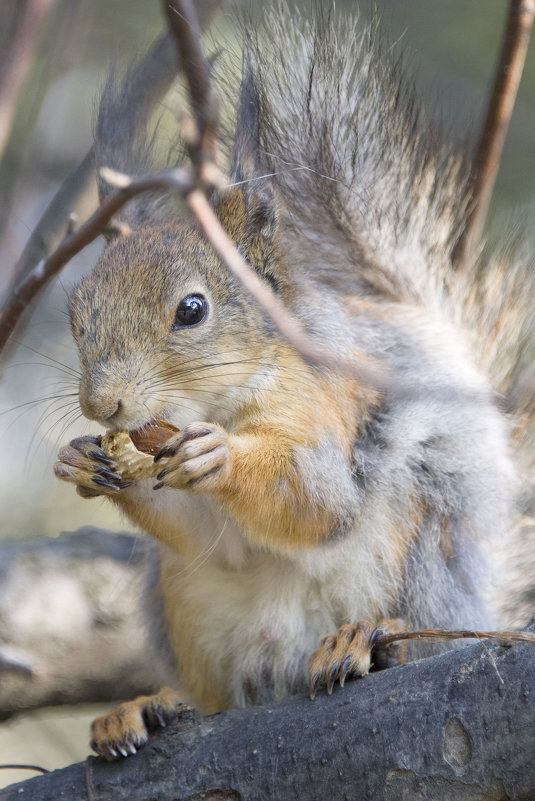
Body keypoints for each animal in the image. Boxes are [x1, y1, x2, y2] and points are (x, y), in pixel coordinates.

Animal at [53, 4, 535, 756]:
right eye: (76, 313)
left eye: (192, 309)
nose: (101, 405)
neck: (220, 400)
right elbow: (207, 535)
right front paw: (82, 459)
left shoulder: (320, 405)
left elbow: (319, 497)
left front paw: (220, 456)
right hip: (184, 606)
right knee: (216, 692)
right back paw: (146, 708)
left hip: (425, 549)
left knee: (416, 630)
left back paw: (366, 640)